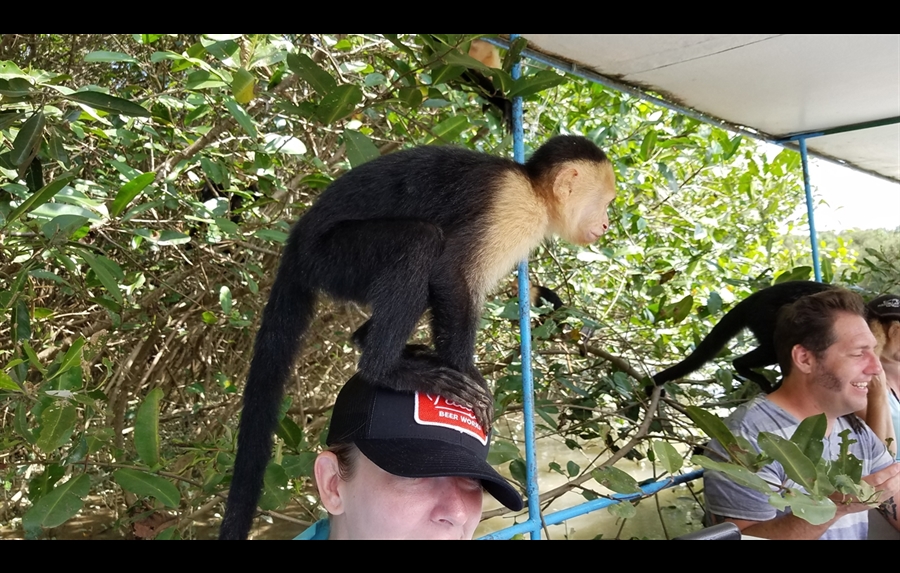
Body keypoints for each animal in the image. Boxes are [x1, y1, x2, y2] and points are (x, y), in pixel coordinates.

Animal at [218, 135, 616, 540]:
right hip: (332, 256)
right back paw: (384, 368)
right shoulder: (512, 206)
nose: (605, 223)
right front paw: (466, 376)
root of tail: (297, 240)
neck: (534, 191)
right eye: (607, 202)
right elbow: (450, 274)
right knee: (419, 242)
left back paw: (371, 341)